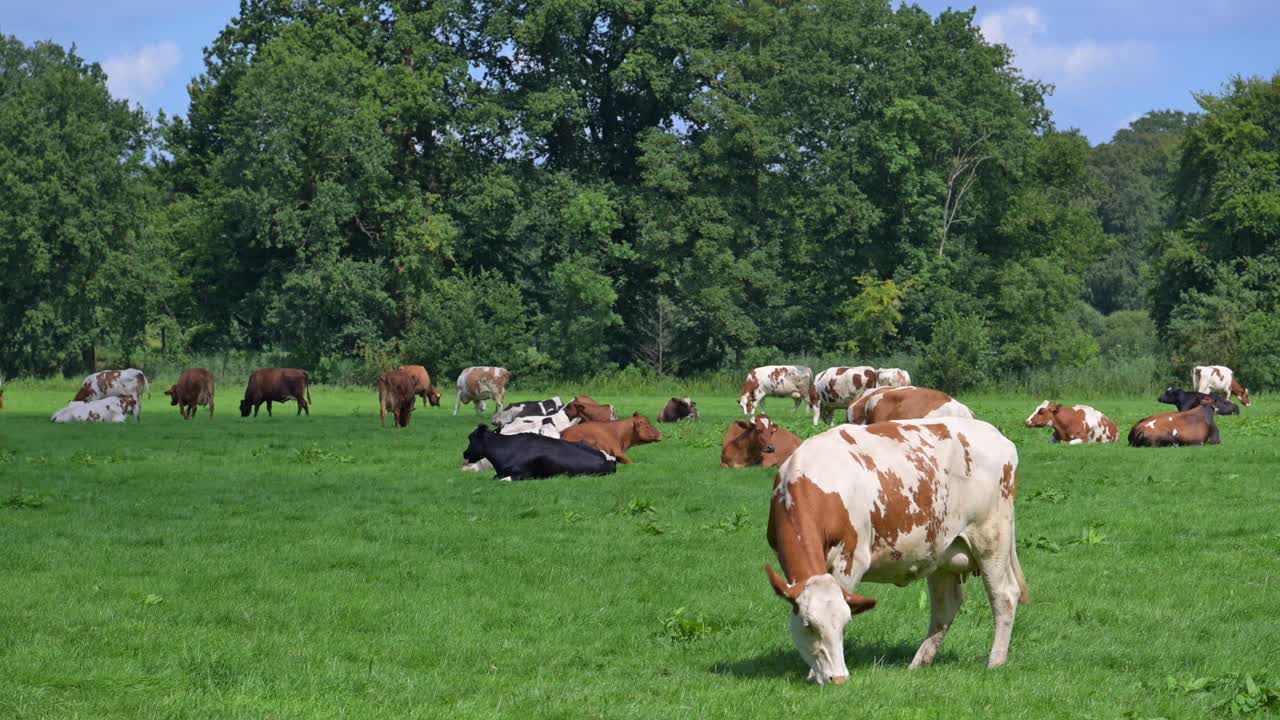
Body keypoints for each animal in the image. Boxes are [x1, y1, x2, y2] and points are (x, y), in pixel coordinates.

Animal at [766, 418, 1027, 685]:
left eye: (845, 624)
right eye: (808, 625)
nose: (838, 678)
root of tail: (996, 435)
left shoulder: (853, 558)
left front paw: (813, 674)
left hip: (991, 538)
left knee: (1004, 595)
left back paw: (995, 661)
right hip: (943, 552)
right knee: (946, 605)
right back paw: (919, 662)